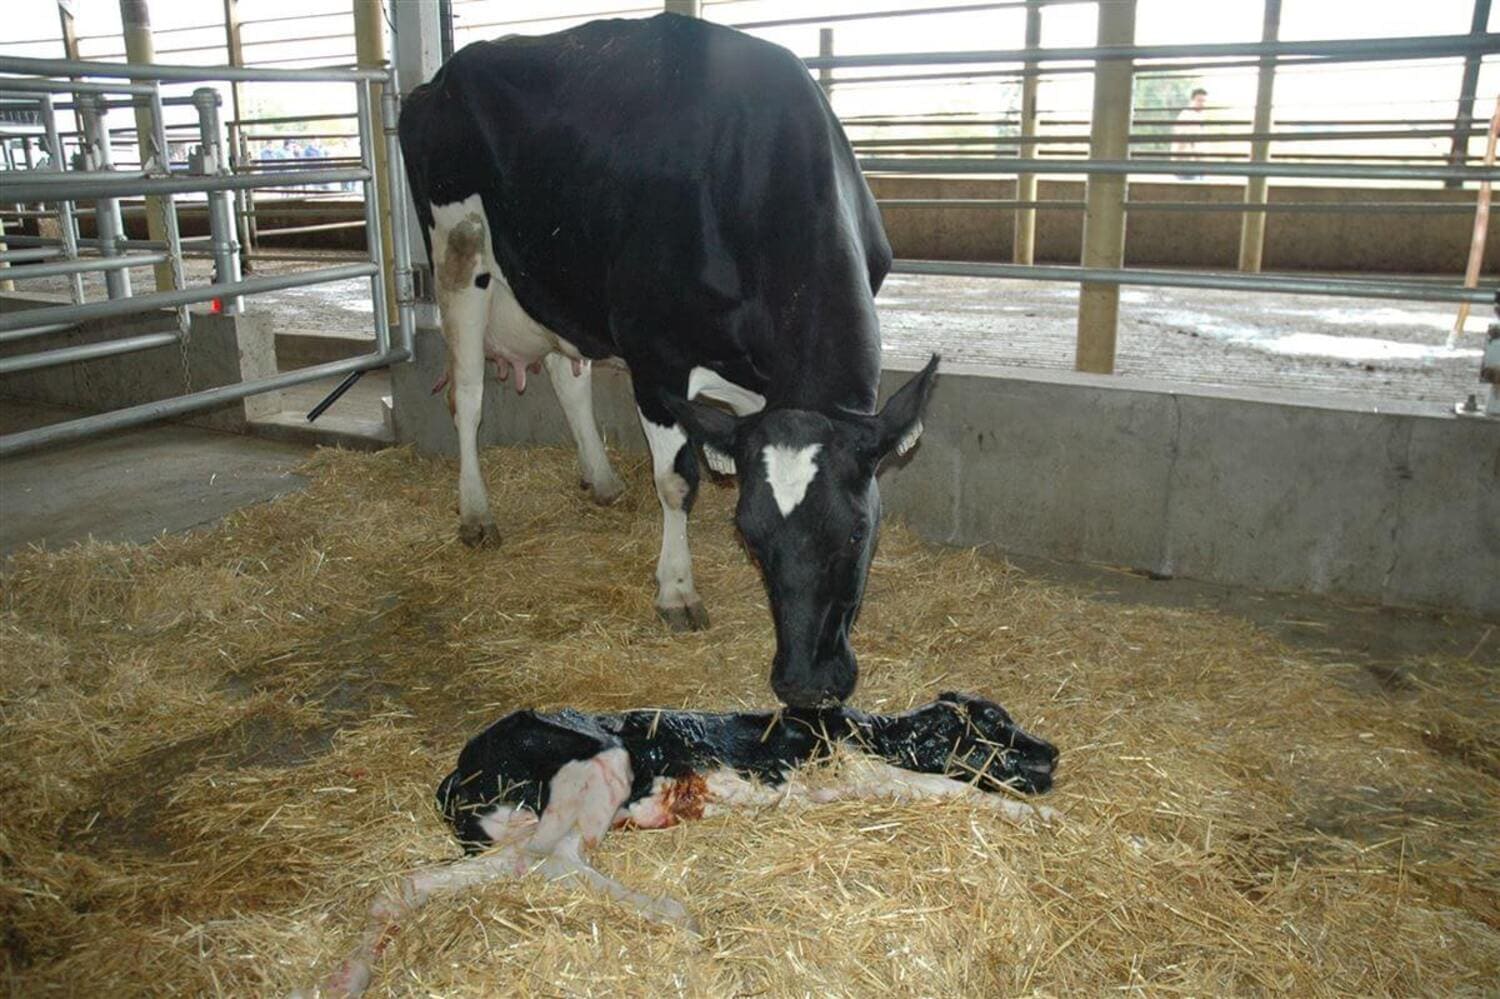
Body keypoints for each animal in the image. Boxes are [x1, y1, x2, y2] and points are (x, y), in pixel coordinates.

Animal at [302, 693, 1059, 996]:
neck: (865, 728)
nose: (1053, 753)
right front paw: (1037, 818)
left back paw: (348, 975)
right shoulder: (855, 773)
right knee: (555, 862)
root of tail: (455, 775)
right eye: (993, 731)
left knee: (414, 883)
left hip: (514, 829)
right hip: (598, 762)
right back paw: (679, 914)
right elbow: (948, 789)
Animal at [398, 13, 939, 709]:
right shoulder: (655, 358)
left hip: (557, 280)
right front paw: (677, 591)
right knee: (465, 394)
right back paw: (475, 513)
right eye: (749, 535)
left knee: (566, 376)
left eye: (857, 531)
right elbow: (677, 481)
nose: (803, 686)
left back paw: (600, 479)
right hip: (458, 252)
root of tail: (434, 81)